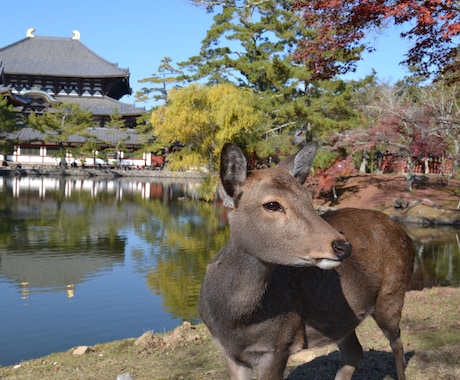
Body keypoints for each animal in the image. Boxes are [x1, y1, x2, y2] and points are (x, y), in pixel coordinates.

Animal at [199, 142, 416, 380]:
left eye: (308, 197)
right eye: (272, 204)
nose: (343, 246)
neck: (236, 322)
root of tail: (406, 236)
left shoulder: (280, 344)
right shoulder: (229, 352)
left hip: (392, 295)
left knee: (398, 343)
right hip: (342, 319)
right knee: (355, 351)